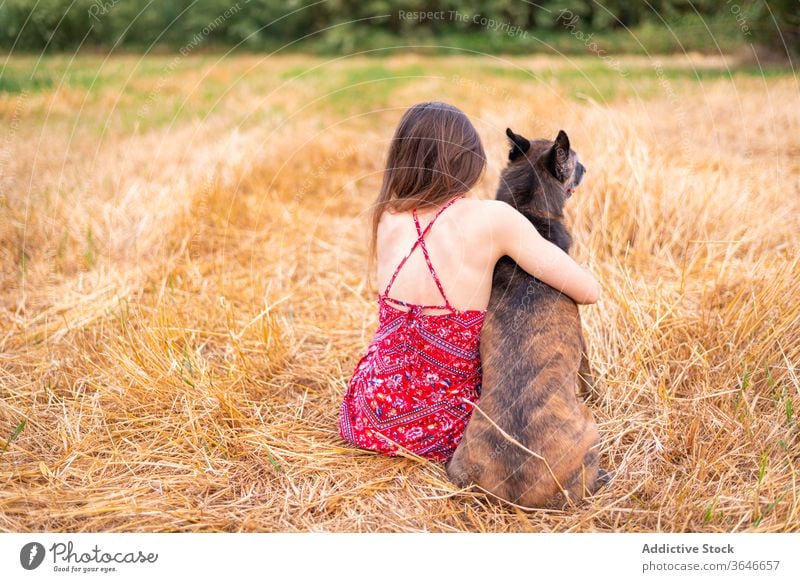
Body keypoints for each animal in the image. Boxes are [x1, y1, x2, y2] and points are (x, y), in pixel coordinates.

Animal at [444, 129, 608, 512]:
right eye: (575, 160)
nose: (587, 167)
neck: (528, 211)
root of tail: (517, 490)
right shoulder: (582, 339)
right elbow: (589, 375)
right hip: (589, 431)